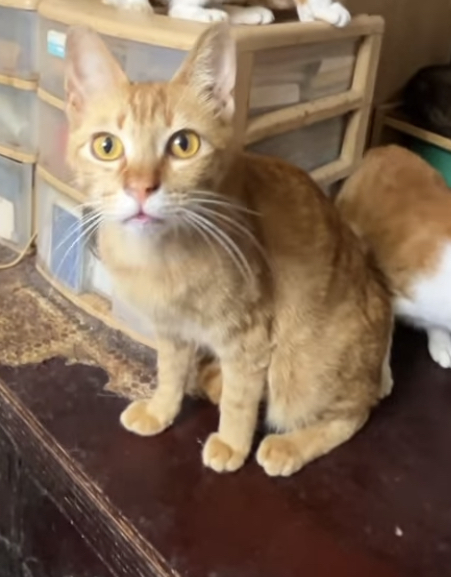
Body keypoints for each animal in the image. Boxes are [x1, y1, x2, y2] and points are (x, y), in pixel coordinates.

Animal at [64, 23, 392, 477]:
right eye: (107, 147)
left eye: (183, 144)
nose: (141, 188)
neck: (158, 258)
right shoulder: (170, 330)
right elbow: (169, 373)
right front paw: (161, 411)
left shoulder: (249, 336)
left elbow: (241, 398)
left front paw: (233, 444)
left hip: (301, 371)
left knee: (353, 412)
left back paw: (287, 445)